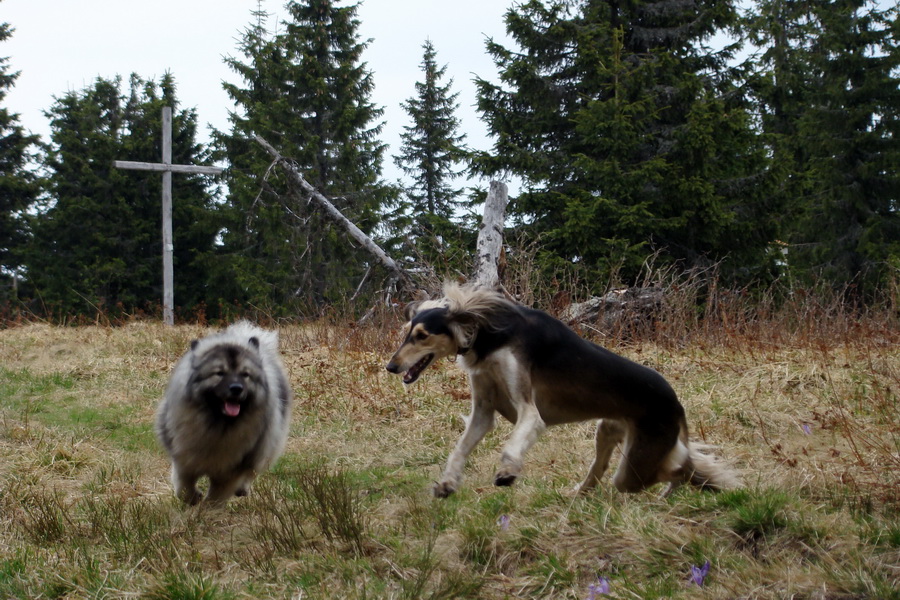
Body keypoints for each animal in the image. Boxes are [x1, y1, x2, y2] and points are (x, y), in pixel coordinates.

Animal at [156, 322, 292, 504]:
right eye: (219, 373)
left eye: (245, 375)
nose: (236, 388)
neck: (218, 426)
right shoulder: (184, 458)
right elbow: (183, 487)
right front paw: (193, 498)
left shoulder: (231, 471)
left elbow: (215, 498)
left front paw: (207, 509)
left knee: (252, 471)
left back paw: (242, 488)